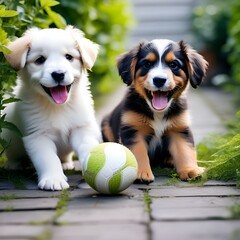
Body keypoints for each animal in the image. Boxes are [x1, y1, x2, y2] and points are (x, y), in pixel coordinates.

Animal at [3, 25, 101, 191]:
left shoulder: (81, 128)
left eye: (69, 57)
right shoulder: (37, 135)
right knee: (13, 154)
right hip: (8, 135)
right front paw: (53, 179)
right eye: (40, 60)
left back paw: (66, 163)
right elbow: (48, 158)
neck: (58, 107)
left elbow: (87, 146)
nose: (58, 74)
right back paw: (14, 165)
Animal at [101, 39, 208, 182]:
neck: (158, 113)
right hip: (106, 124)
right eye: (147, 64)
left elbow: (185, 150)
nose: (159, 80)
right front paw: (141, 173)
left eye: (173, 65)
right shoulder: (133, 130)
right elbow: (138, 153)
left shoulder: (179, 129)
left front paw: (190, 170)